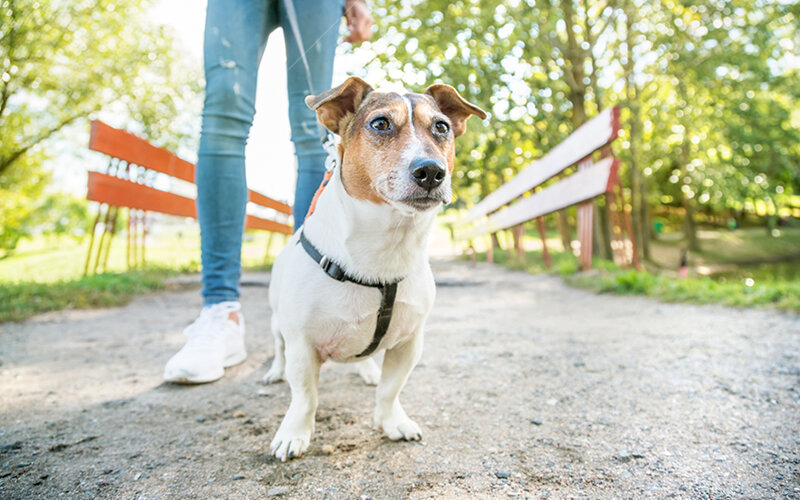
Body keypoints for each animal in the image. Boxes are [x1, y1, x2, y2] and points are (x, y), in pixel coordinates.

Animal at [266, 76, 484, 462]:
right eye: (380, 123)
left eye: (441, 127)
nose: (431, 171)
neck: (387, 245)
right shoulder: (302, 346)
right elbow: (305, 397)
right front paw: (294, 433)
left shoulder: (409, 344)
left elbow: (389, 390)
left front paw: (391, 422)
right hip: (278, 322)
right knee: (278, 348)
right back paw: (275, 371)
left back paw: (366, 369)